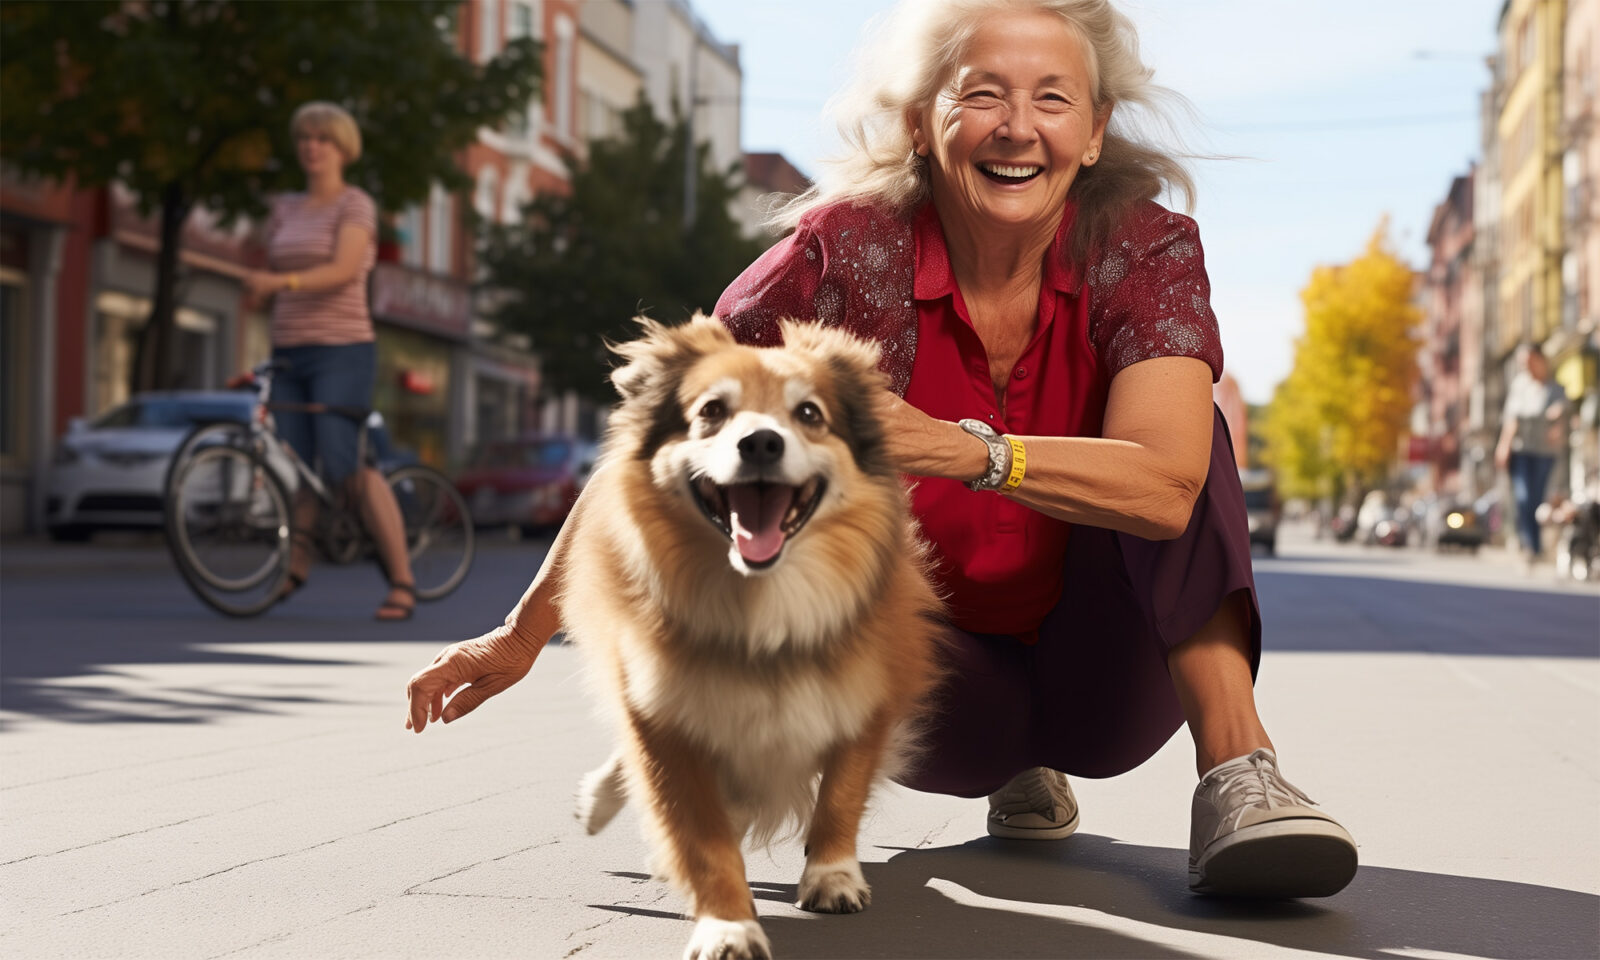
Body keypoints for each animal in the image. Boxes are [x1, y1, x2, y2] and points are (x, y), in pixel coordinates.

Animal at [569, 315, 947, 960]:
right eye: (712, 412)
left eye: (810, 414)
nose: (762, 444)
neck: (761, 606)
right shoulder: (665, 718)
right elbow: (702, 839)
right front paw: (727, 925)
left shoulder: (864, 700)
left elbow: (839, 797)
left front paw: (832, 876)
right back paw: (598, 804)